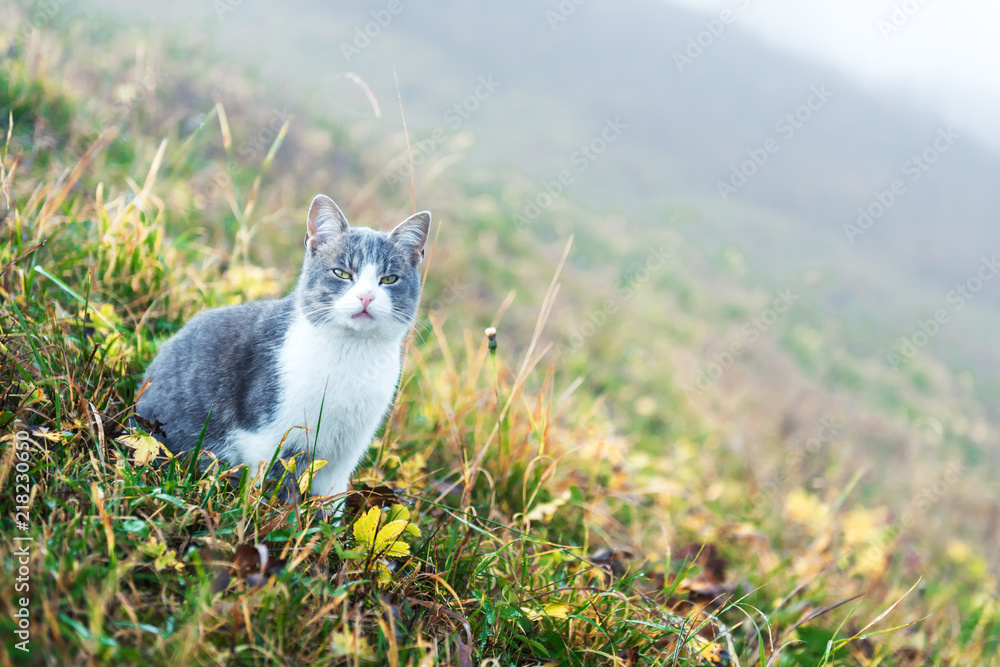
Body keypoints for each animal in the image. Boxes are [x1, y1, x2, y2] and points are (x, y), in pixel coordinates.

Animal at [137, 196, 430, 504]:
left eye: (389, 279)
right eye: (342, 273)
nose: (366, 296)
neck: (351, 354)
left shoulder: (344, 457)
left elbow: (332, 501)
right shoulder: (265, 438)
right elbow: (270, 489)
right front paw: (270, 512)